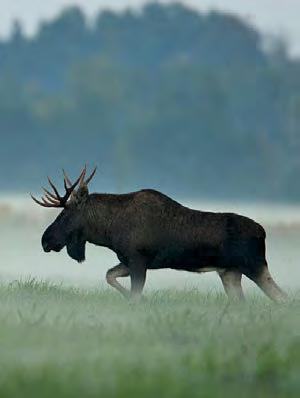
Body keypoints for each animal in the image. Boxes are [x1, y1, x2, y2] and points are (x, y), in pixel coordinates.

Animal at [30, 166, 286, 300]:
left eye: (65, 214)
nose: (45, 240)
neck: (108, 230)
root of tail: (263, 232)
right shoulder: (129, 261)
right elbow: (109, 276)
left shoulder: (138, 260)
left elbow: (132, 292)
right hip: (230, 273)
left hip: (254, 266)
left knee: (281, 296)